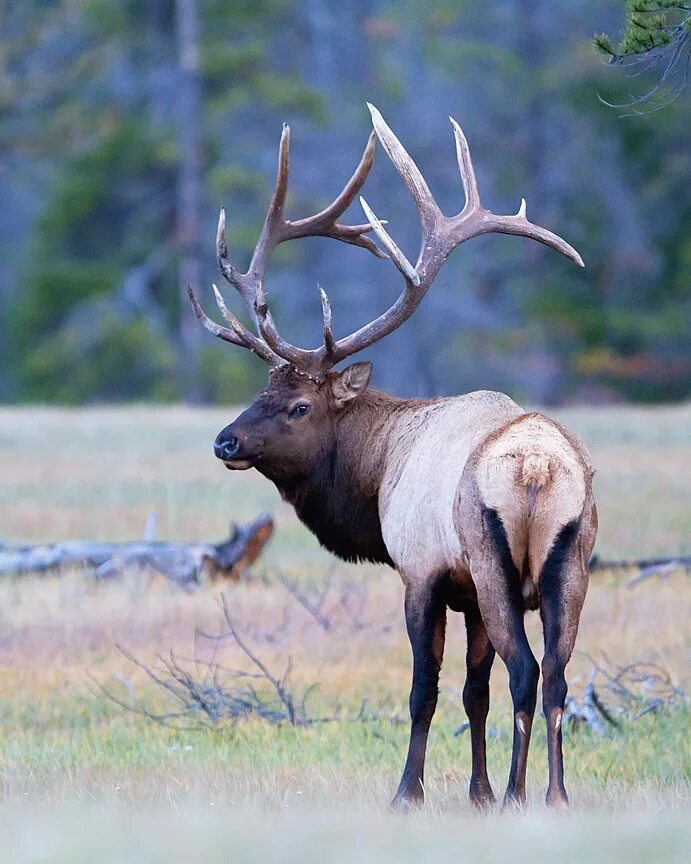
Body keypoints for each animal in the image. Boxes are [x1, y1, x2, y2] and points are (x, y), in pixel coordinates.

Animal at [187, 103, 596, 808]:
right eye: (260, 392)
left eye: (300, 406)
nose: (225, 441)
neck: (379, 472)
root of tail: (538, 470)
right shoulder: (466, 593)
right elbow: (474, 693)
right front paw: (476, 793)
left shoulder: (422, 572)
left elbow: (424, 692)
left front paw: (411, 792)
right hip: (570, 566)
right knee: (557, 677)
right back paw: (554, 796)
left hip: (495, 562)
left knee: (526, 670)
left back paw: (520, 795)